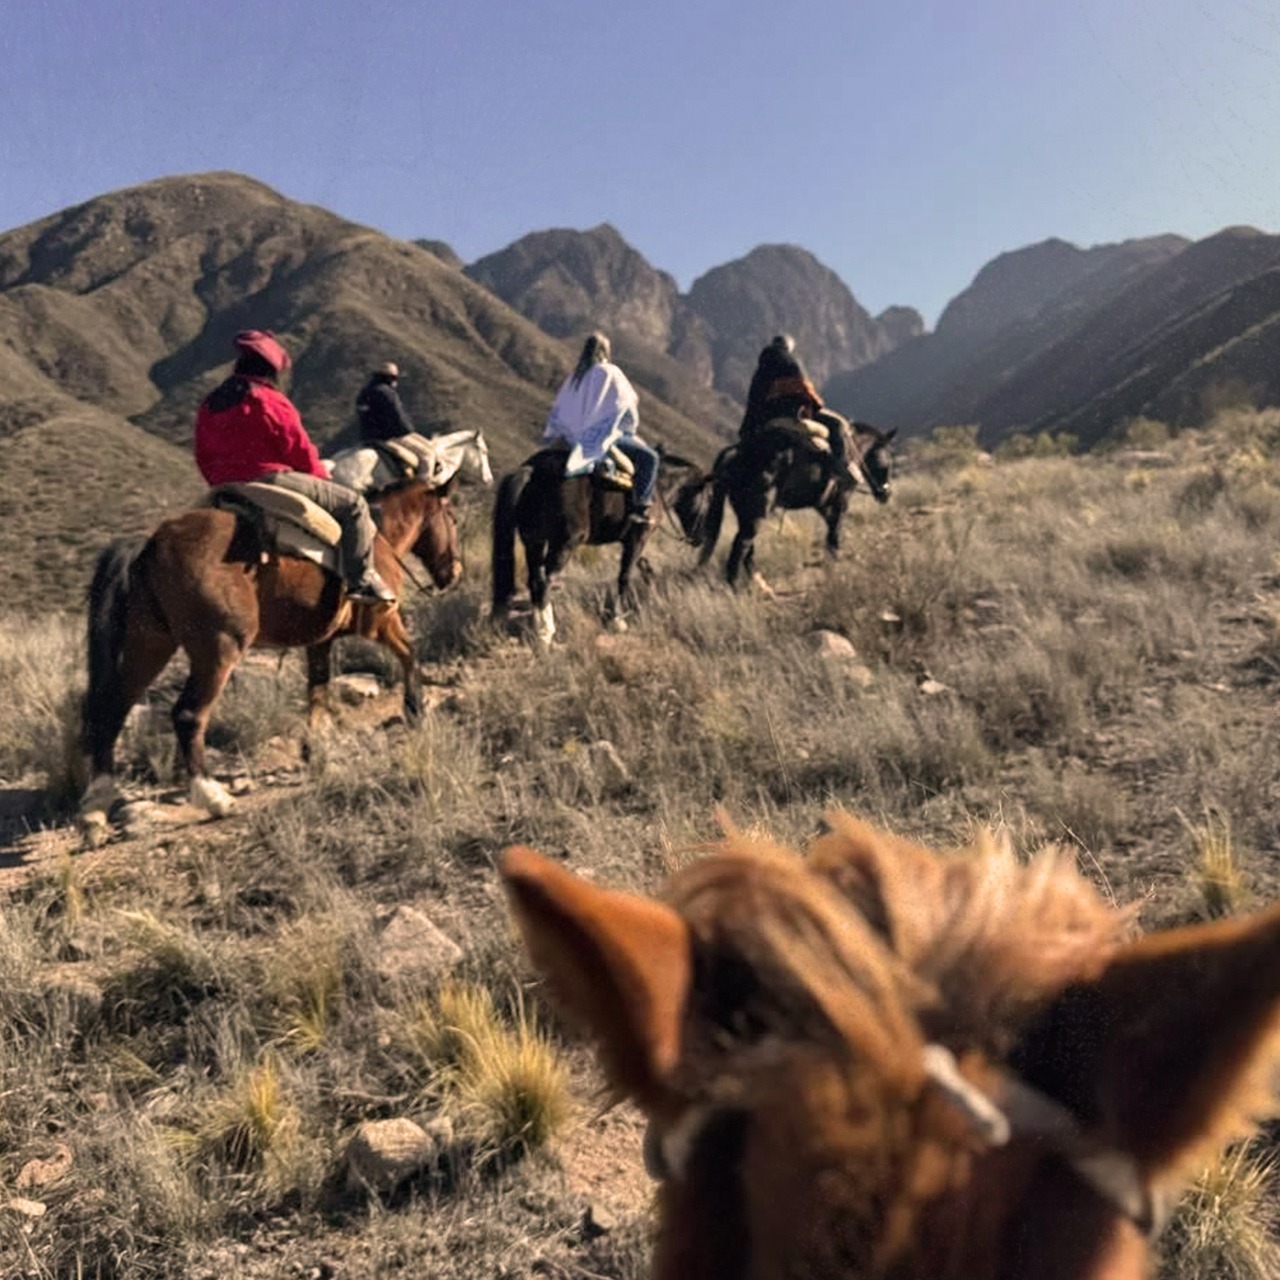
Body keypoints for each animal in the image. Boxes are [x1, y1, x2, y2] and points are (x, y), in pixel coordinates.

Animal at [78, 477, 461, 842]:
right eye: (452, 518)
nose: (454, 573)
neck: (379, 537)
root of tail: (151, 545)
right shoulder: (382, 622)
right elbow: (409, 654)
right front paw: (415, 708)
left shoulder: (319, 643)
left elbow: (318, 691)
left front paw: (313, 750)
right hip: (218, 650)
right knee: (188, 715)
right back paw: (214, 797)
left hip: (150, 644)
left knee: (112, 711)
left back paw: (96, 804)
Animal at [490, 448, 703, 645]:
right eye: (706, 499)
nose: (698, 540)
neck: (658, 487)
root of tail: (532, 469)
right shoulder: (638, 538)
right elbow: (624, 576)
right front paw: (618, 620)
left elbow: (640, 568)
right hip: (565, 543)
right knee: (544, 581)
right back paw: (546, 634)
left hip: (535, 541)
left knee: (535, 579)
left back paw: (539, 627)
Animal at [677, 418, 896, 587]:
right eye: (887, 459)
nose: (885, 494)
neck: (853, 451)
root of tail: (737, 453)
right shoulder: (840, 503)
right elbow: (835, 535)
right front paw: (835, 566)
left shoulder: (825, 506)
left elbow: (831, 535)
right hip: (755, 514)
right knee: (741, 546)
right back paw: (736, 587)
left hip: (745, 513)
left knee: (746, 547)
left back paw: (758, 584)